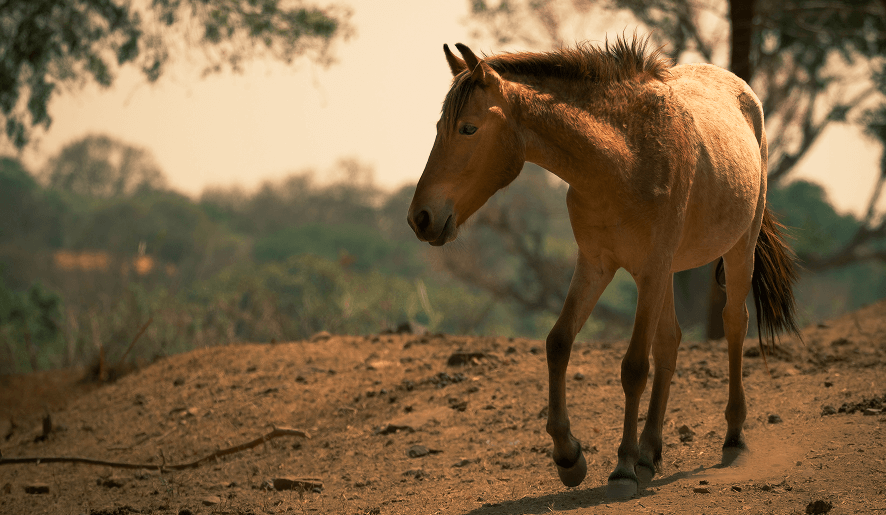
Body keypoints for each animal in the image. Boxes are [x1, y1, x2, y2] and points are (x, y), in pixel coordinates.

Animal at [406, 36, 802, 499]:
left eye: (468, 128)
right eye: (439, 128)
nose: (421, 218)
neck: (623, 158)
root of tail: (743, 90)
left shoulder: (650, 269)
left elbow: (633, 367)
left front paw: (623, 468)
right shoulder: (596, 264)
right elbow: (559, 342)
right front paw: (569, 457)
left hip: (738, 249)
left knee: (734, 323)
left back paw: (732, 436)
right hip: (669, 273)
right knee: (670, 342)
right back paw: (650, 451)